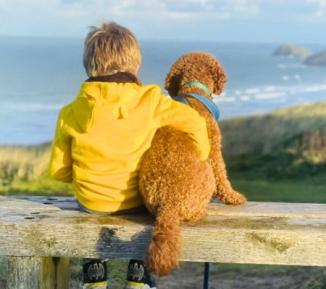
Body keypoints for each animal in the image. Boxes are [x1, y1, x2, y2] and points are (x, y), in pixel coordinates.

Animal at [138, 53, 247, 276]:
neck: (193, 92)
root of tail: (168, 204)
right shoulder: (214, 148)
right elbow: (223, 176)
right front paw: (234, 197)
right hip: (206, 177)